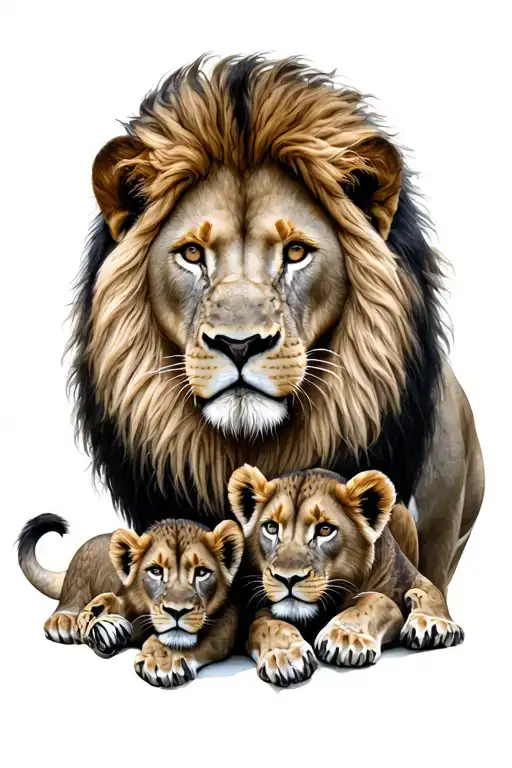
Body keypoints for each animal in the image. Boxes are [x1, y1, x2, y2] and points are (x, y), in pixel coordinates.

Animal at [17, 513, 243, 687]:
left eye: (202, 572)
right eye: (155, 571)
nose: (177, 612)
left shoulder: (229, 616)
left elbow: (206, 639)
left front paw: (163, 660)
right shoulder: (128, 596)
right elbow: (111, 599)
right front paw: (95, 616)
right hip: (79, 574)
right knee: (71, 599)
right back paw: (63, 620)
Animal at [228, 464, 463, 687]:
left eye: (324, 530)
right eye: (271, 527)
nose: (287, 579)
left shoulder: (412, 577)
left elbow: (417, 594)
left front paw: (347, 637)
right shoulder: (261, 607)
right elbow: (265, 624)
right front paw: (284, 655)